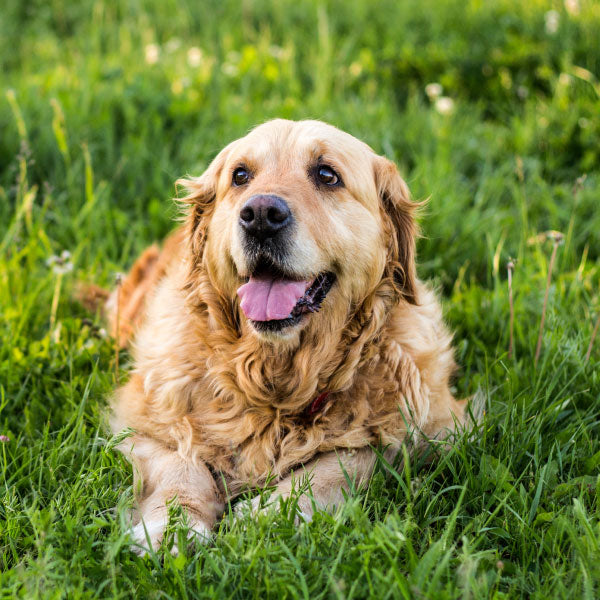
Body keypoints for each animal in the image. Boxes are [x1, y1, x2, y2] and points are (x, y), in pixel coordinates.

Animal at [101, 118, 472, 552]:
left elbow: (346, 461)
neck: (277, 381)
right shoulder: (143, 419)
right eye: (240, 175)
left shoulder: (434, 428)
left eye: (327, 175)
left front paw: (267, 515)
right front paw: (175, 524)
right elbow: (180, 460)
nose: (261, 214)